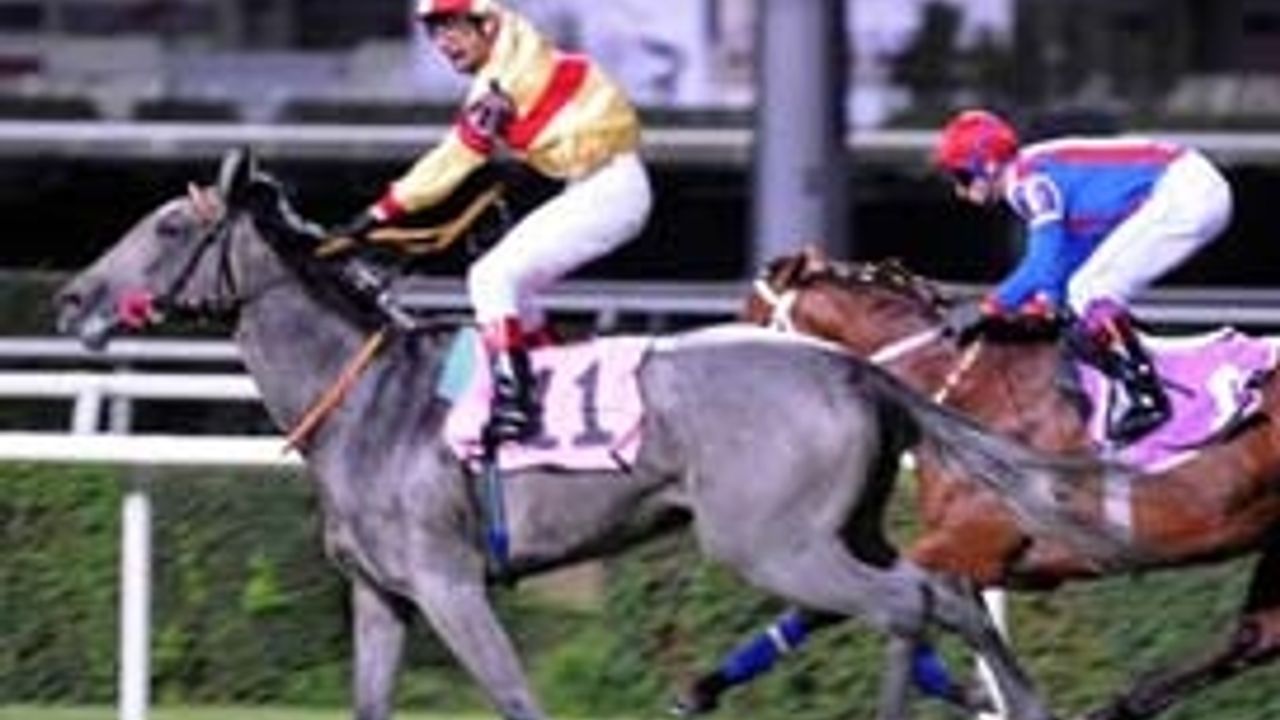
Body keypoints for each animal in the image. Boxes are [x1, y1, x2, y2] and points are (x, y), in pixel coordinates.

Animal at [52, 151, 1130, 720]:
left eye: (164, 227)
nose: (70, 297)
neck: (368, 405)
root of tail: (849, 367)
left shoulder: (448, 583)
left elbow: (515, 699)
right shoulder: (381, 594)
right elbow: (368, 701)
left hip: (770, 544)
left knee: (908, 603)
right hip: (842, 530)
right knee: (949, 594)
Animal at [680, 246, 1280, 720]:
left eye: (747, 322)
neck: (968, 390)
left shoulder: (971, 542)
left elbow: (829, 604)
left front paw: (701, 686)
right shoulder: (972, 558)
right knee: (1256, 634)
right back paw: (1121, 704)